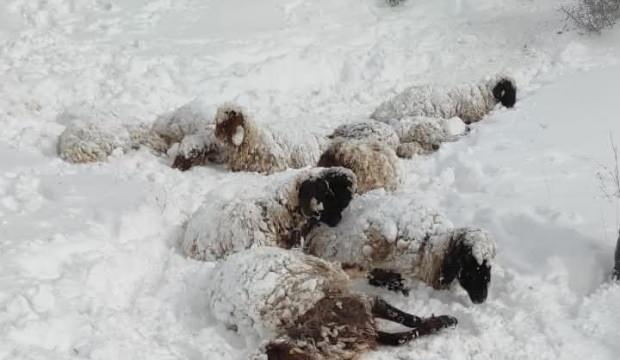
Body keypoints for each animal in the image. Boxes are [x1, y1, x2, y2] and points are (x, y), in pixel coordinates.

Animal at [207, 248, 456, 360]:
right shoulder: (360, 326)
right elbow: (398, 338)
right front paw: (438, 323)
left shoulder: (357, 305)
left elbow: (405, 317)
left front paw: (445, 320)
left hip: (324, 270)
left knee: (353, 267)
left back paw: (391, 279)